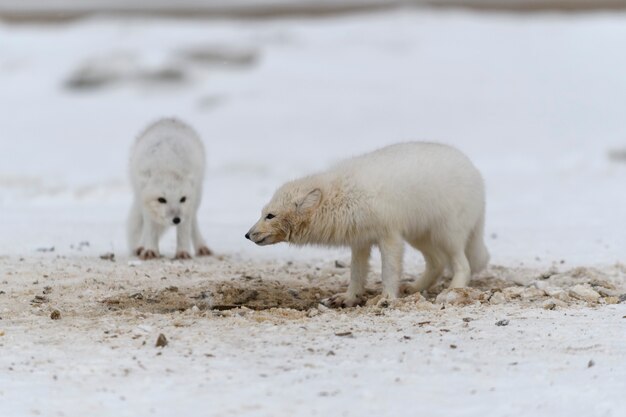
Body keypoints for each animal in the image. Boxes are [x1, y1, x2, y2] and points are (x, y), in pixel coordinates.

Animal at [127, 117, 212, 258]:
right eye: (162, 199)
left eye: (182, 199)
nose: (176, 219)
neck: (167, 165)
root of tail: (170, 119)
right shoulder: (147, 205)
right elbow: (150, 229)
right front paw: (150, 250)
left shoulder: (186, 208)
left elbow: (184, 231)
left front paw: (183, 252)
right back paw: (141, 246)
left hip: (196, 199)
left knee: (193, 224)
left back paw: (201, 247)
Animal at [244, 142, 488, 306]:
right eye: (263, 213)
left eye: (270, 216)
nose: (247, 235)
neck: (343, 196)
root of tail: (474, 171)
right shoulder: (360, 240)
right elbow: (357, 273)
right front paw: (349, 297)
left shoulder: (390, 236)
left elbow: (388, 271)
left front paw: (387, 298)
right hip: (419, 236)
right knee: (437, 263)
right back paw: (415, 287)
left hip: (447, 234)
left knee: (462, 264)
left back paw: (454, 289)